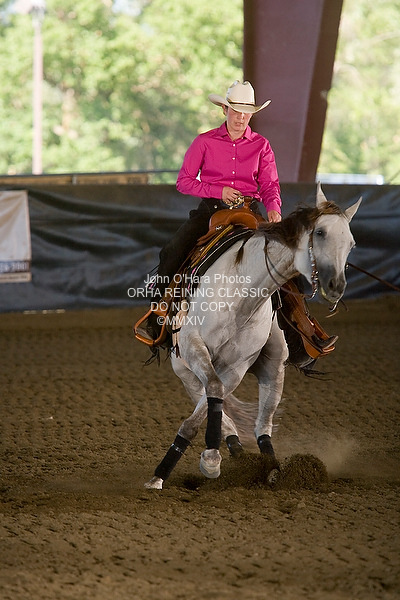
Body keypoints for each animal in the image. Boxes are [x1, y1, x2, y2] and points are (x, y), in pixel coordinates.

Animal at [144, 185, 361, 490]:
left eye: (351, 243)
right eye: (319, 232)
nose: (336, 285)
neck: (240, 290)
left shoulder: (237, 365)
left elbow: (214, 399)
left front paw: (211, 459)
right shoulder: (192, 348)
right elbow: (211, 397)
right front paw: (205, 461)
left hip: (274, 368)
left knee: (262, 424)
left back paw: (269, 468)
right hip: (186, 372)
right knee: (218, 408)